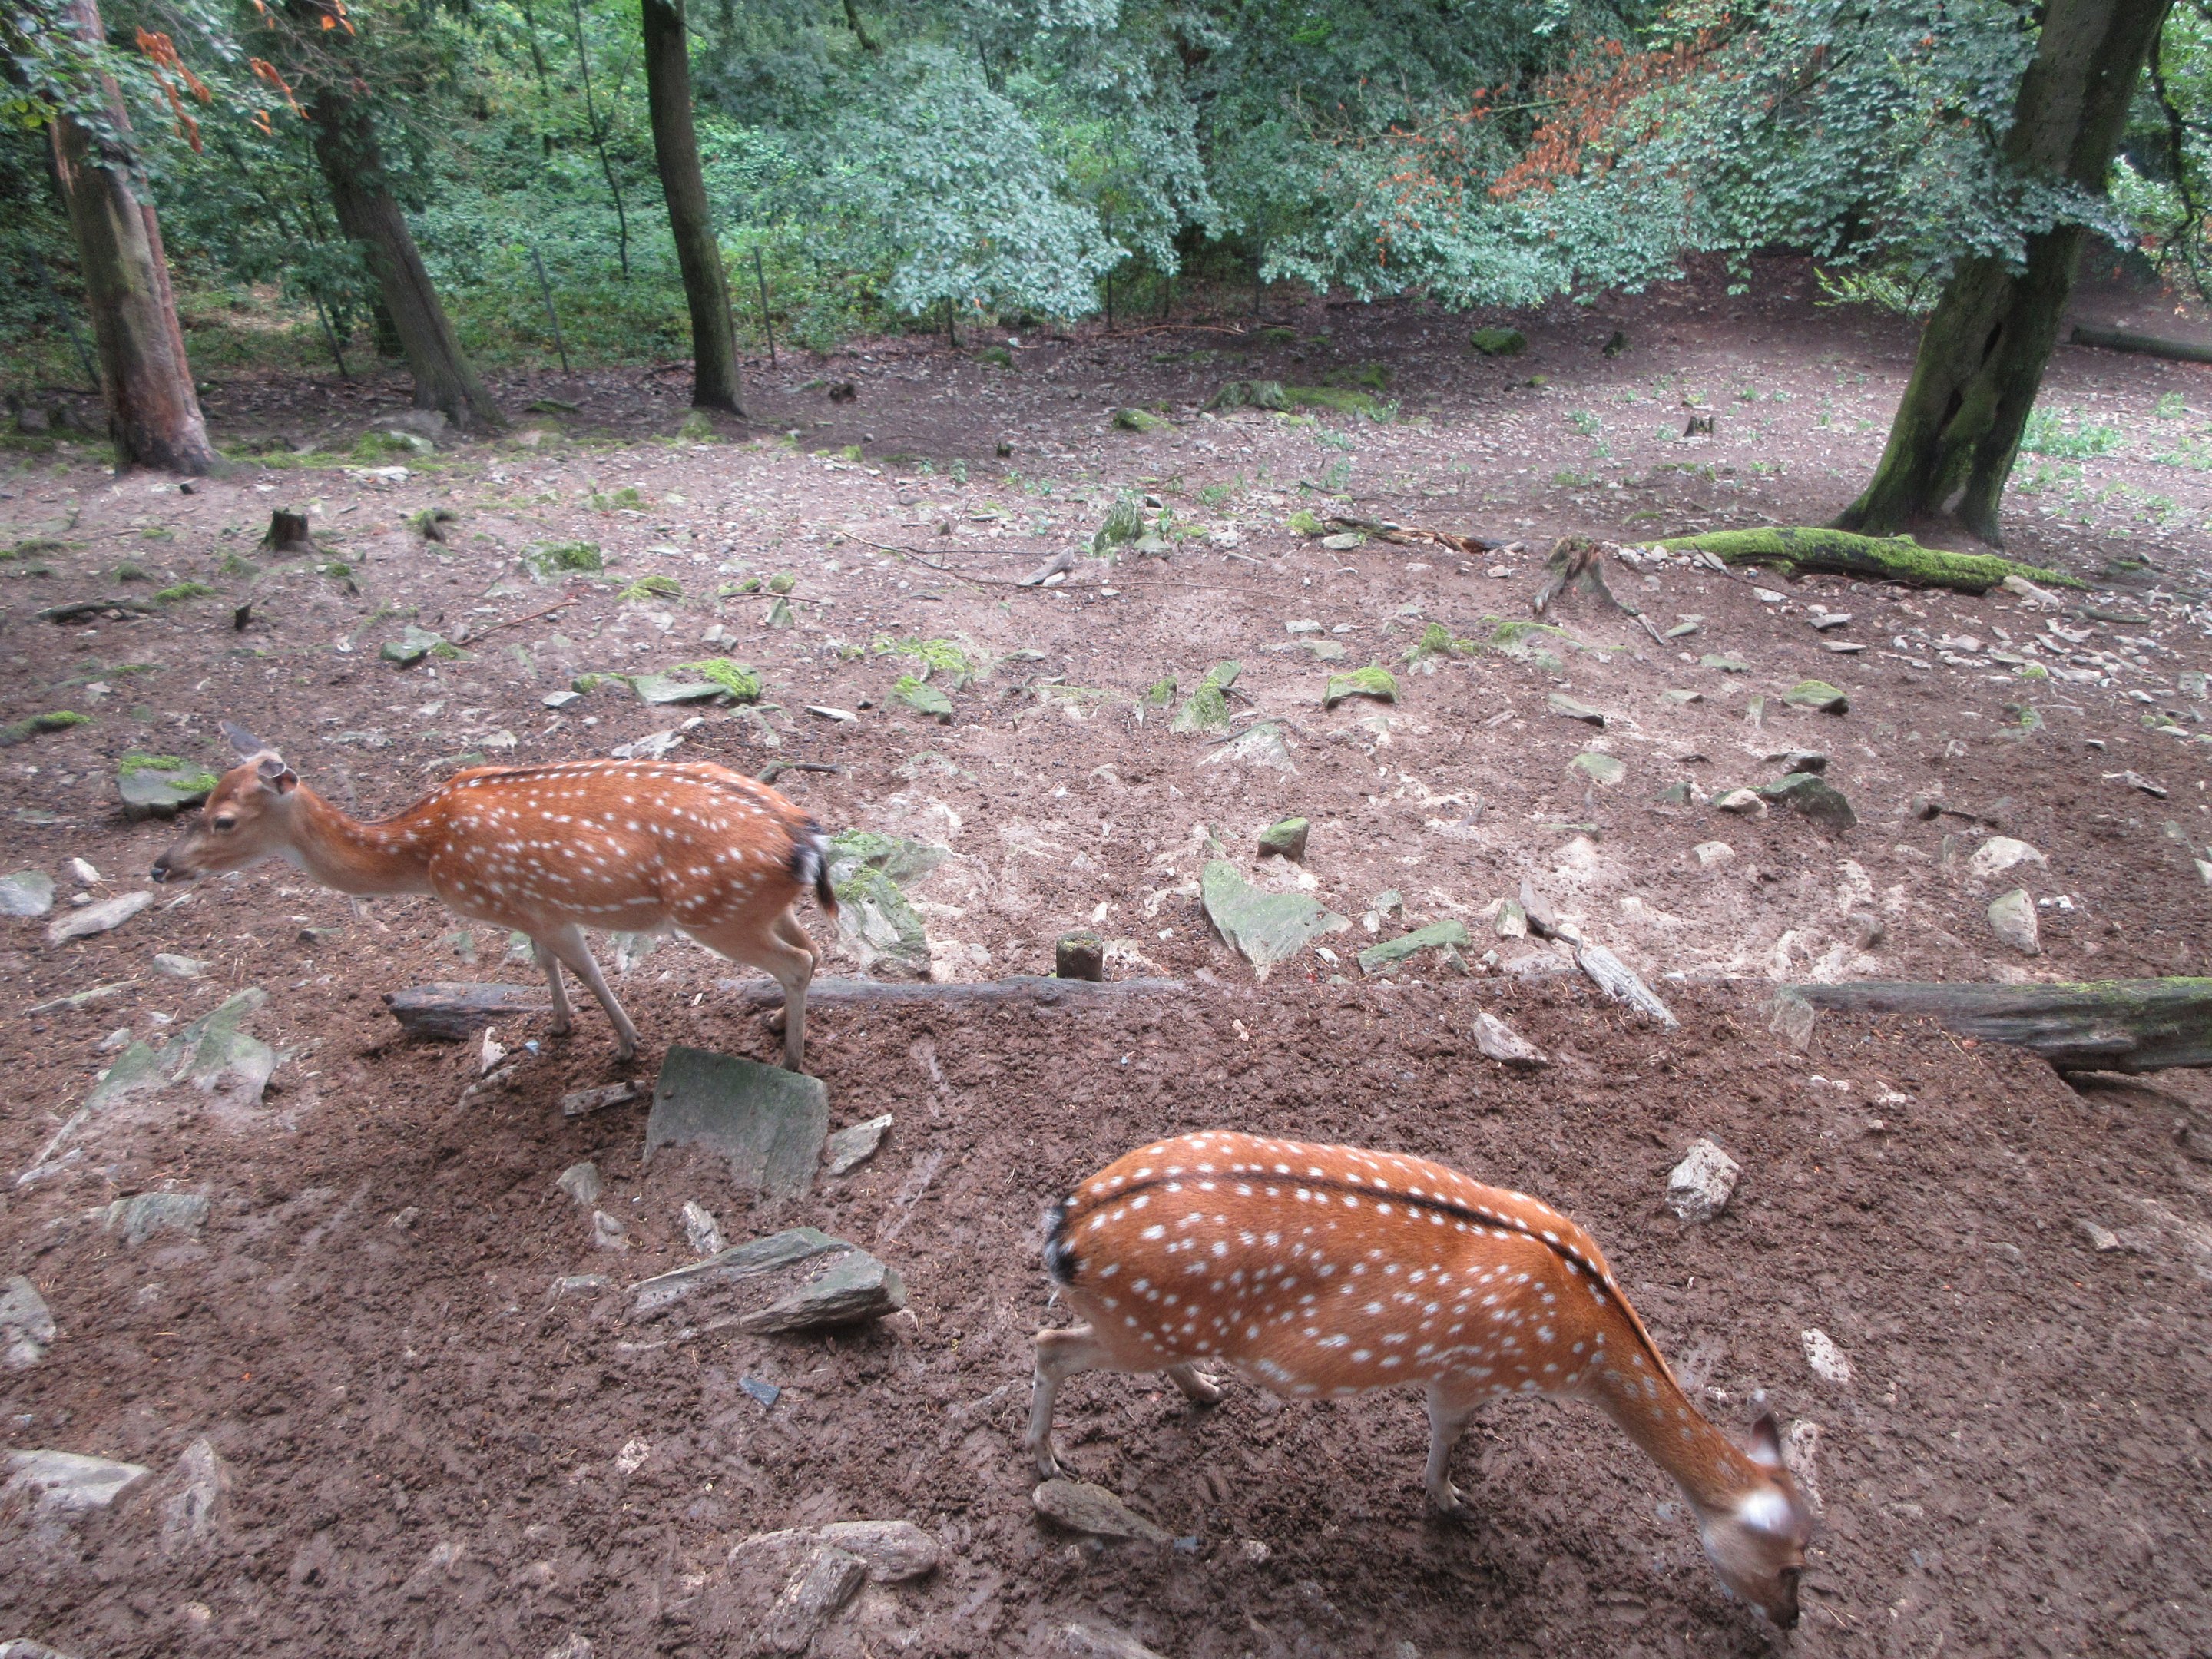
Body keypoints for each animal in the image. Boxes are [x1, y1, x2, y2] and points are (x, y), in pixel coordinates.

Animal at [150, 723, 838, 1071]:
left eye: (224, 821)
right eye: (204, 799)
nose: (160, 867)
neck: (425, 851)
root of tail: (805, 840)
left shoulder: (540, 907)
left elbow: (585, 969)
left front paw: (625, 1045)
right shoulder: (532, 909)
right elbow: (545, 963)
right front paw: (559, 1024)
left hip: (715, 914)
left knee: (798, 961)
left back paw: (792, 1060)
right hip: (762, 906)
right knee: (811, 950)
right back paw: (777, 1023)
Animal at [1026, 1131, 1813, 1628]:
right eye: (1793, 1565)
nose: (1790, 1620)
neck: (1579, 1347)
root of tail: (1066, 1228)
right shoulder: (1464, 1370)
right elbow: (1444, 1434)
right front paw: (1448, 1500)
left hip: (1157, 1326)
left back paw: (1204, 1392)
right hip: (1136, 1325)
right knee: (1048, 1343)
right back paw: (1046, 1459)